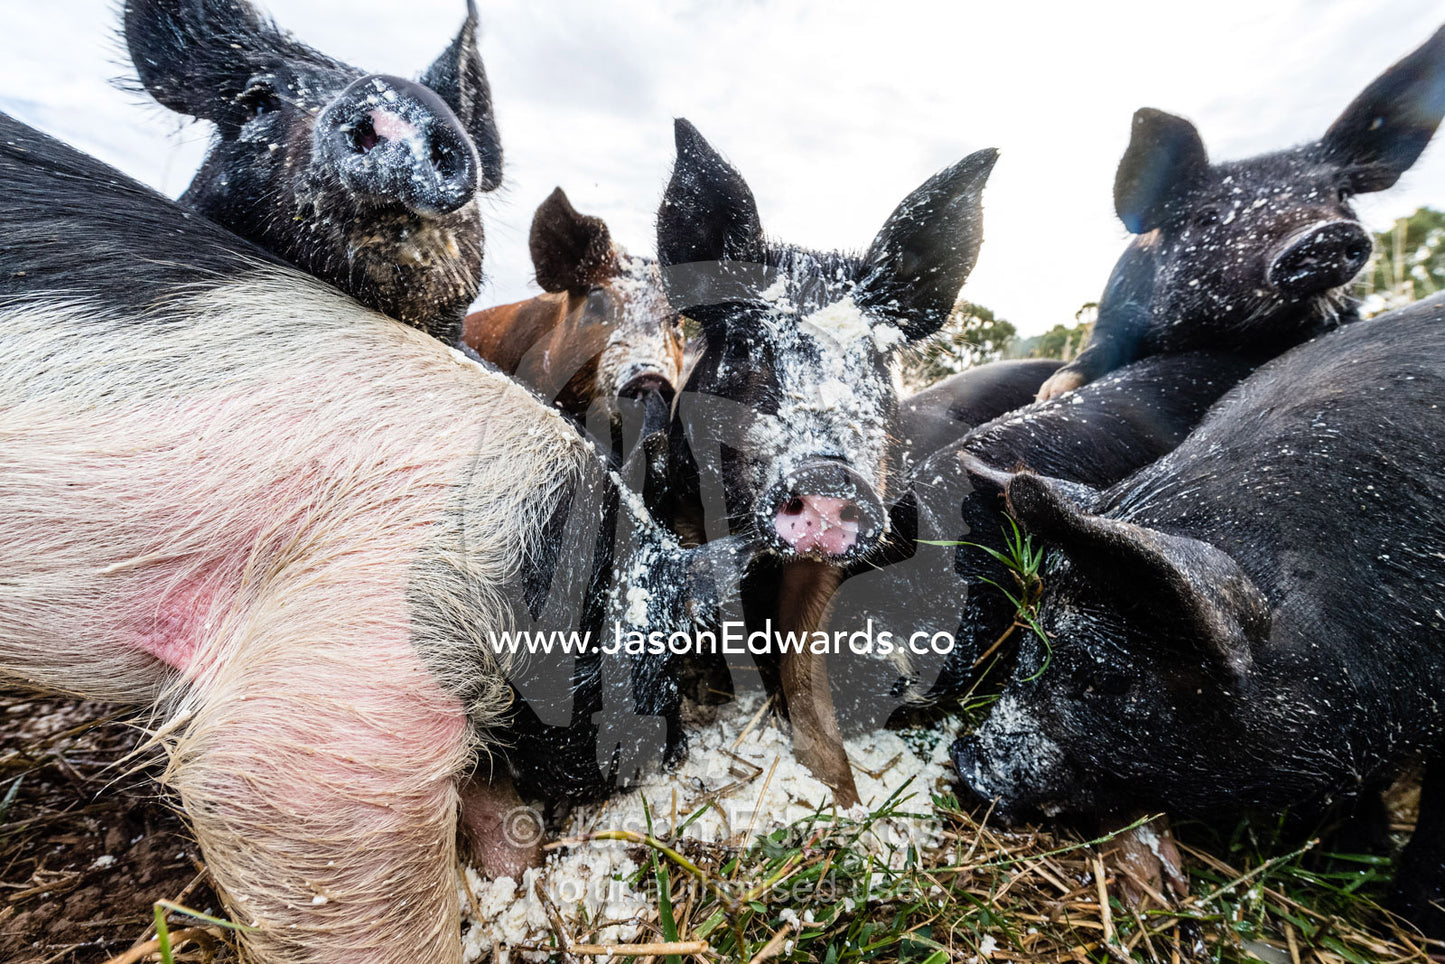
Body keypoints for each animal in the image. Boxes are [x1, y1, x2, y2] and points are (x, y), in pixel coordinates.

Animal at [1036, 24, 1445, 401]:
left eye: (1342, 194)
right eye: (1206, 217)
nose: (1319, 233)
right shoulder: (1114, 307)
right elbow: (1096, 349)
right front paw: (1051, 392)